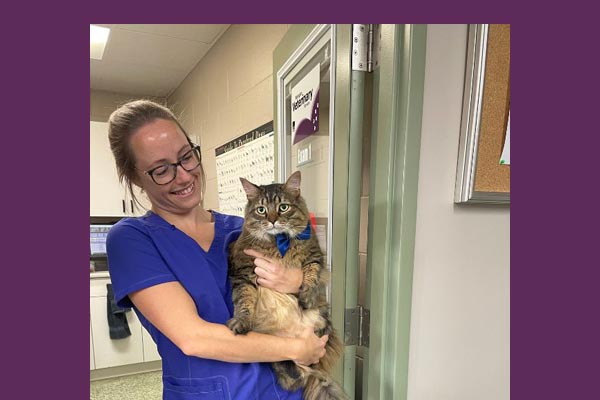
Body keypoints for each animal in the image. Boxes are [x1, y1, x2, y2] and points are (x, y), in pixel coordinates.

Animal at [226, 171, 346, 400]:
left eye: (283, 207)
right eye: (261, 210)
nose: (272, 221)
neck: (277, 243)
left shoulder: (314, 257)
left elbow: (311, 275)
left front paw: (306, 295)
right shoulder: (243, 275)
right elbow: (244, 301)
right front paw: (241, 321)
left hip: (322, 321)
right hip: (277, 351)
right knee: (293, 373)